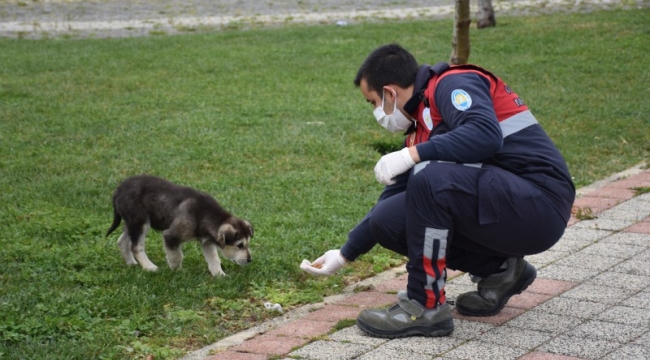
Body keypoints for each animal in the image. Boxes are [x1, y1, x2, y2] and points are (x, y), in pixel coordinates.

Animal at [105, 176, 252, 278]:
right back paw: (149, 267)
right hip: (141, 221)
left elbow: (214, 259)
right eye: (240, 245)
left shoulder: (207, 242)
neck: (204, 215)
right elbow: (176, 256)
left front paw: (219, 275)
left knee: (122, 240)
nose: (250, 260)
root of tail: (119, 190)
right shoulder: (171, 236)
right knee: (136, 247)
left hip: (132, 222)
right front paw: (177, 271)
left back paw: (131, 263)